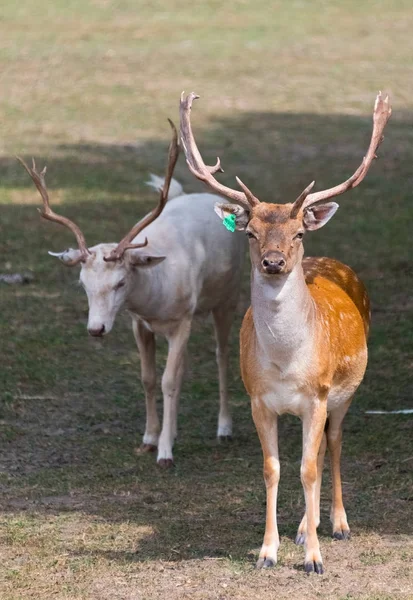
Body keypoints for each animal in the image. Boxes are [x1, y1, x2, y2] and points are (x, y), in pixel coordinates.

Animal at [18, 122, 245, 466]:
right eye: (82, 284)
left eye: (120, 282)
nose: (96, 329)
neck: (157, 298)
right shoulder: (140, 323)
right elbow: (149, 378)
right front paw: (149, 440)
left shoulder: (183, 319)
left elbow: (168, 381)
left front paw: (165, 454)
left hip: (228, 296)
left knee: (221, 354)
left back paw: (225, 428)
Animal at [179, 90, 390, 572]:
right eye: (250, 233)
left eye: (296, 233)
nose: (273, 262)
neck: (285, 361)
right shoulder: (259, 399)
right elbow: (273, 468)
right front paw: (267, 551)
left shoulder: (318, 396)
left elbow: (309, 468)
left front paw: (314, 558)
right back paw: (302, 528)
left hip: (344, 394)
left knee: (332, 445)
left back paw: (336, 525)